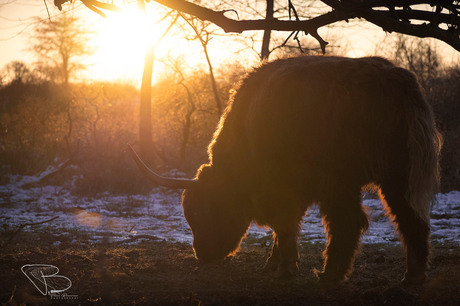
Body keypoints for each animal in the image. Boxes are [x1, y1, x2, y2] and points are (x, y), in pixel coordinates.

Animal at [130, 55, 442, 284]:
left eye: (203, 212)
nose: (201, 253)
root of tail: (395, 83)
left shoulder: (280, 188)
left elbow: (284, 225)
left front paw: (285, 269)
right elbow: (284, 229)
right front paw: (273, 263)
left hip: (342, 181)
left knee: (348, 222)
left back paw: (329, 275)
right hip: (397, 176)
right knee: (411, 220)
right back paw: (411, 277)